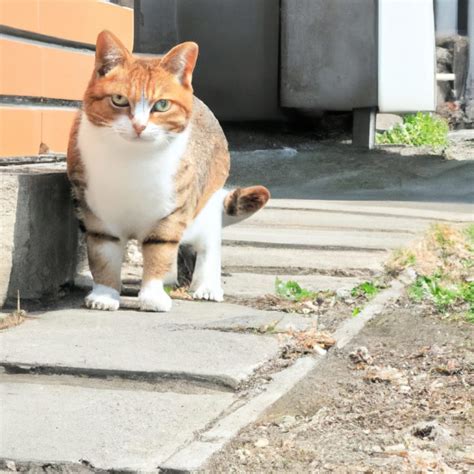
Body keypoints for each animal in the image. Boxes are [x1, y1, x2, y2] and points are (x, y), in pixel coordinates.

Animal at [65, 29, 270, 312]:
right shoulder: (97, 214)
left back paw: (206, 286)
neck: (132, 161)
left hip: (203, 205)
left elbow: (160, 251)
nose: (139, 126)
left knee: (207, 243)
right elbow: (103, 254)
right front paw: (105, 294)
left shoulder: (171, 214)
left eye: (161, 105)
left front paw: (152, 295)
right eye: (119, 99)